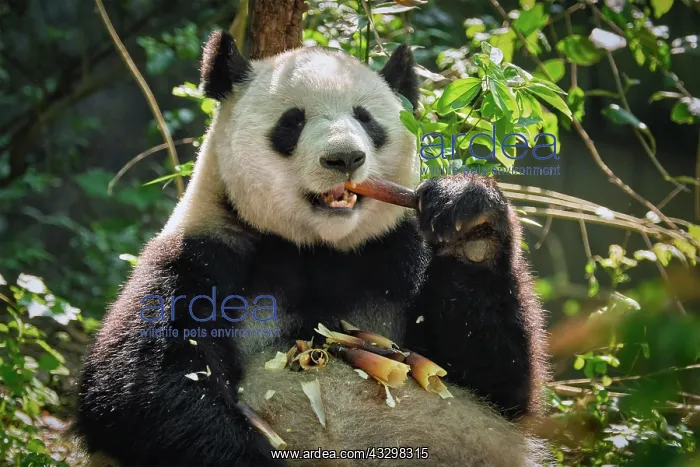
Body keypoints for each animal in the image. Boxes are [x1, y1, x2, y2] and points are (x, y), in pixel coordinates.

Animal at [73, 30, 551, 467]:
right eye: (293, 121)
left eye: (366, 119)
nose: (345, 159)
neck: (317, 246)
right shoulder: (202, 254)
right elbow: (144, 389)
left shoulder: (397, 251)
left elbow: (492, 380)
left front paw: (469, 218)